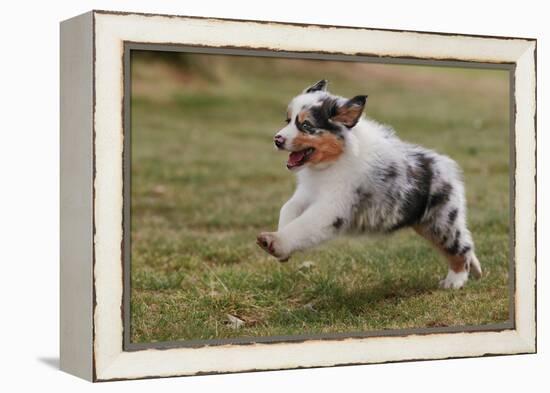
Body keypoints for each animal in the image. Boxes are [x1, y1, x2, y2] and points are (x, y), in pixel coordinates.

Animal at [258, 79, 484, 288]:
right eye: (288, 120)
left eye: (306, 126)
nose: (277, 139)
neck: (332, 163)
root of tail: (447, 167)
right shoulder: (307, 193)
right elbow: (288, 208)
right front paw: (281, 248)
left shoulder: (331, 208)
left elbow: (302, 226)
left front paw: (273, 241)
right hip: (426, 223)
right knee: (465, 240)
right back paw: (475, 270)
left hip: (440, 221)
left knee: (460, 248)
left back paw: (454, 281)